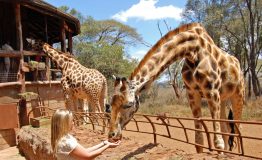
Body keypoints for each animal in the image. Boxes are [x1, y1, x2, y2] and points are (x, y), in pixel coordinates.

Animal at [107, 22, 245, 152]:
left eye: (128, 104)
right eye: (110, 104)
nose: (111, 134)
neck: (193, 50)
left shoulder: (211, 91)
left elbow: (218, 142)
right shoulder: (192, 93)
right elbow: (199, 141)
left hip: (238, 95)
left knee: (238, 129)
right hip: (223, 98)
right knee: (226, 129)